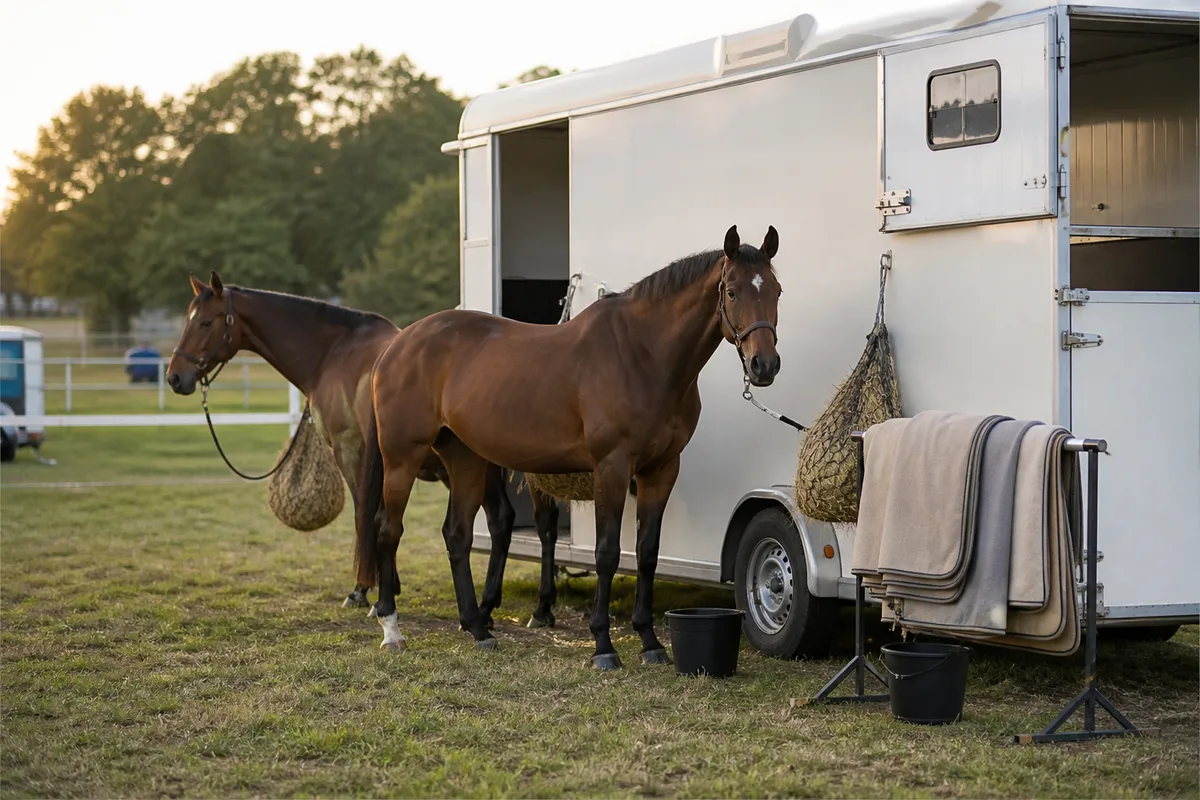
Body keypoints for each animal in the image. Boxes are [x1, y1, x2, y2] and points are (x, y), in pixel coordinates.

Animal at [164, 272, 567, 630]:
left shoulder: (350, 452)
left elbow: (366, 515)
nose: (174, 376)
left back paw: (534, 608)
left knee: (540, 526)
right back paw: (505, 607)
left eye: (206, 322)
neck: (334, 352)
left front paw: (366, 591)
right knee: (507, 521)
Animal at [355, 224, 784, 669]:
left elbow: (647, 552)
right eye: (732, 291)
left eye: (776, 291)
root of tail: (397, 344)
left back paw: (478, 628)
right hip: (402, 458)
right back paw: (391, 629)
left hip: (466, 460)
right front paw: (603, 646)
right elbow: (607, 553)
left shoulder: (661, 469)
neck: (643, 355)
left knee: (457, 535)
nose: (764, 365)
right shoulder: (612, 467)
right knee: (388, 530)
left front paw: (650, 641)